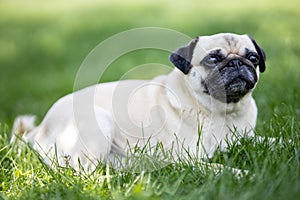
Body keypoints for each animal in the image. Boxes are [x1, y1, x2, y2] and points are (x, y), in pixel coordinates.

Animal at [11, 32, 264, 170]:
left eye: (252, 58)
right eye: (213, 59)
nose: (237, 63)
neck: (223, 111)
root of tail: (41, 128)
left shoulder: (248, 138)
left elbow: (270, 141)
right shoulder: (188, 159)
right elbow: (222, 168)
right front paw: (244, 174)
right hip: (97, 123)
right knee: (81, 169)